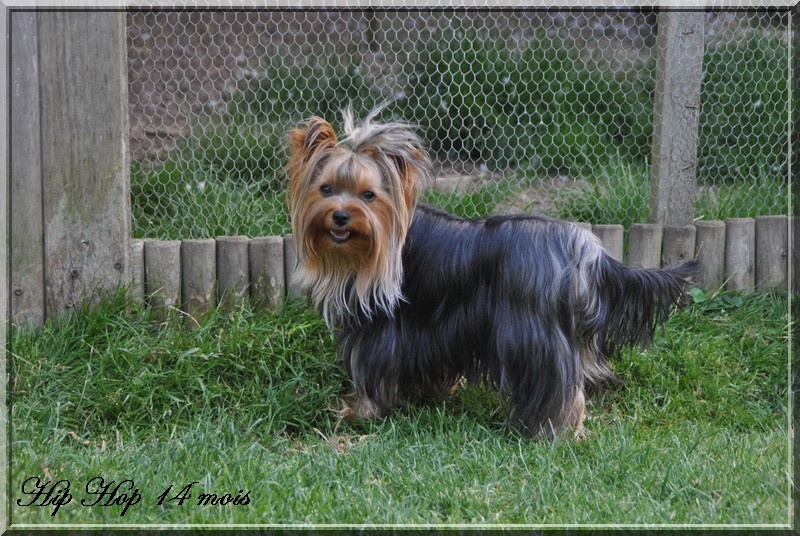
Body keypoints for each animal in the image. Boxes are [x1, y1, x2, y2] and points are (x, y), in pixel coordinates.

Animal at [286, 108, 692, 440]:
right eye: (325, 189)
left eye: (369, 195)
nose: (340, 215)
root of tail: (582, 245)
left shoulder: (384, 328)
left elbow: (372, 370)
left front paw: (359, 412)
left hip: (530, 334)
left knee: (556, 385)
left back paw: (550, 430)